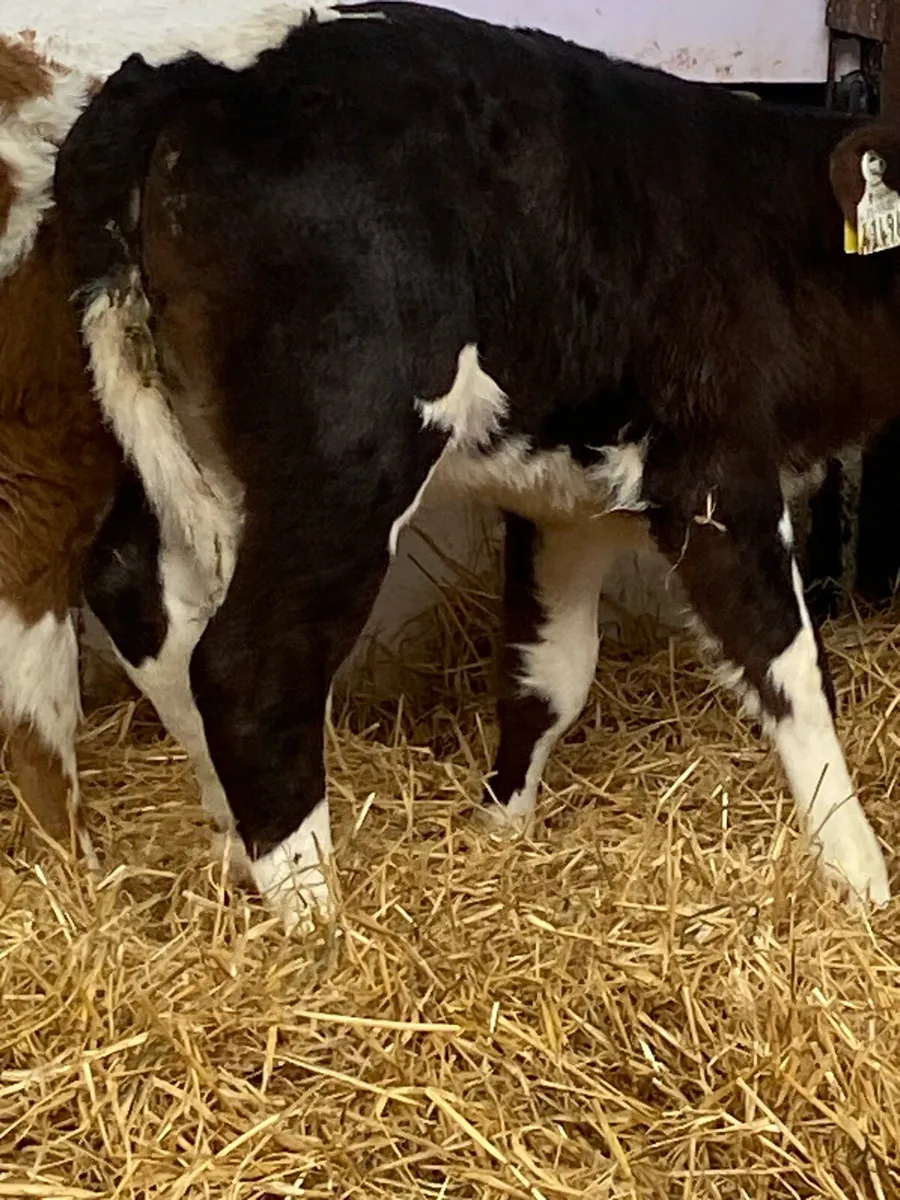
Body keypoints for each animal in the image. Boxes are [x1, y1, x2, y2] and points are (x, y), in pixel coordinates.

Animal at [52, 1, 896, 932]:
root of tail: (188, 76)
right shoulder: (715, 470)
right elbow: (787, 665)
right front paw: (859, 874)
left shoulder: (569, 499)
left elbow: (549, 671)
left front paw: (500, 827)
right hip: (348, 455)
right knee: (249, 664)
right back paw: (319, 924)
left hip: (154, 423)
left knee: (134, 588)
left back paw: (236, 843)